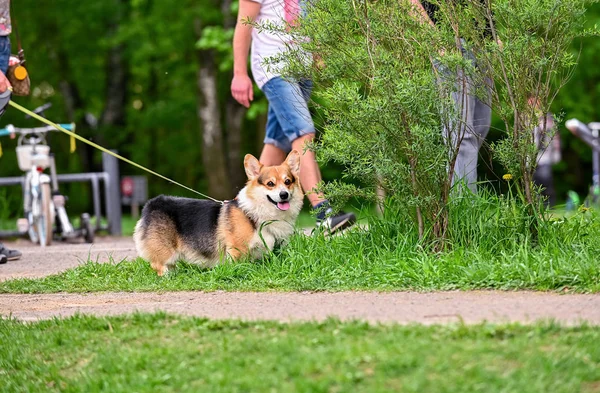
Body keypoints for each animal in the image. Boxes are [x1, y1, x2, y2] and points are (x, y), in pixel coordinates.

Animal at [134, 149, 302, 274]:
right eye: (270, 184)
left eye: (287, 181)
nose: (284, 195)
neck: (256, 215)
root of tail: (153, 203)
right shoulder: (237, 250)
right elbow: (239, 267)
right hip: (165, 252)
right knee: (159, 265)